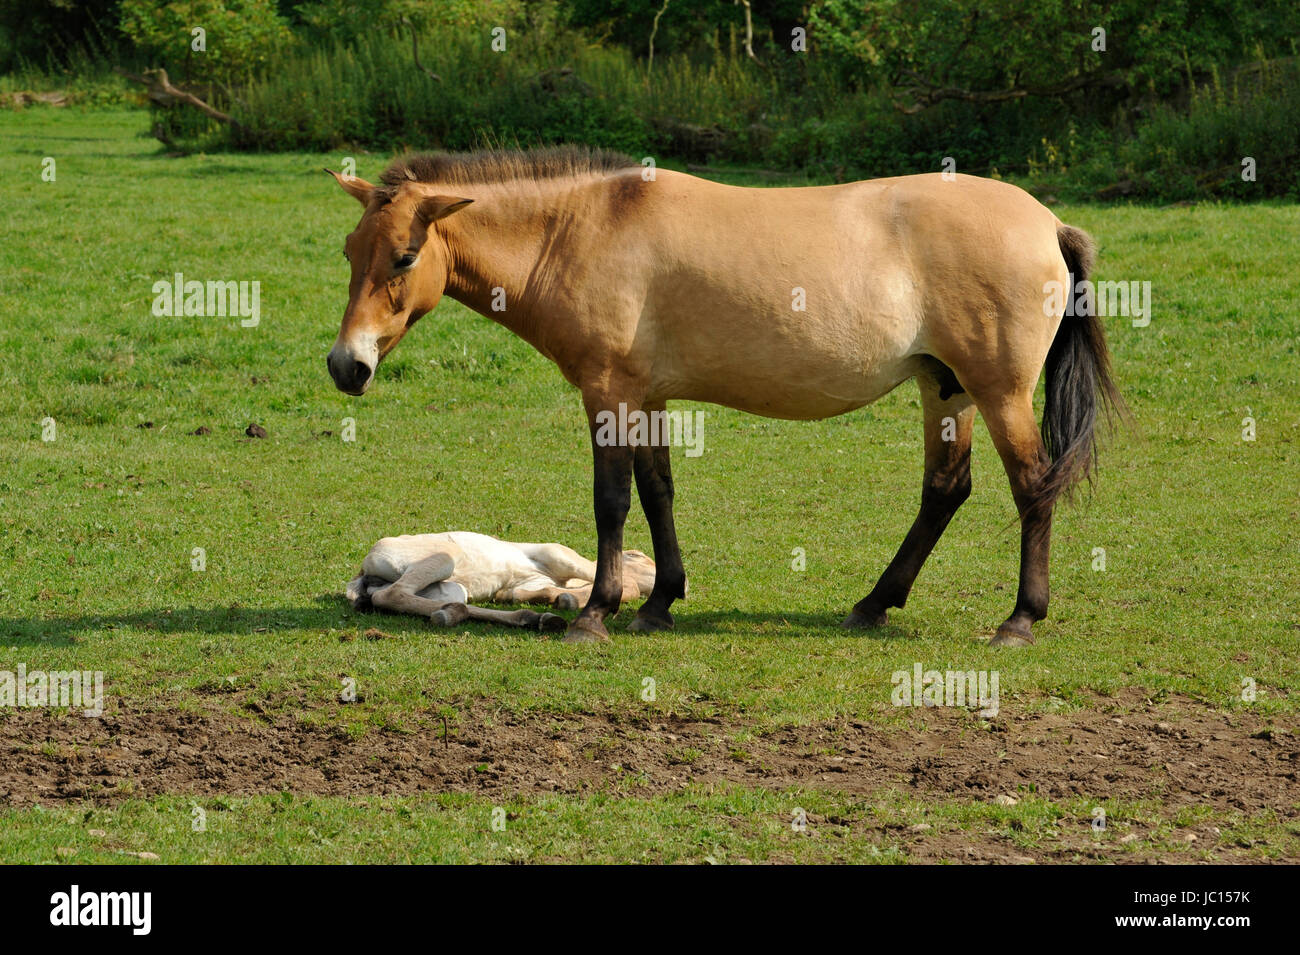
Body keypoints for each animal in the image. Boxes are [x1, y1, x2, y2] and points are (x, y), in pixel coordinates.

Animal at [346, 531, 657, 632]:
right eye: (639, 556)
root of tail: (362, 571)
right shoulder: (556, 553)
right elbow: (623, 582)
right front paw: (567, 600)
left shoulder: (528, 583)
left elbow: (519, 592)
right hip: (445, 557)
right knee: (389, 595)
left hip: (451, 588)